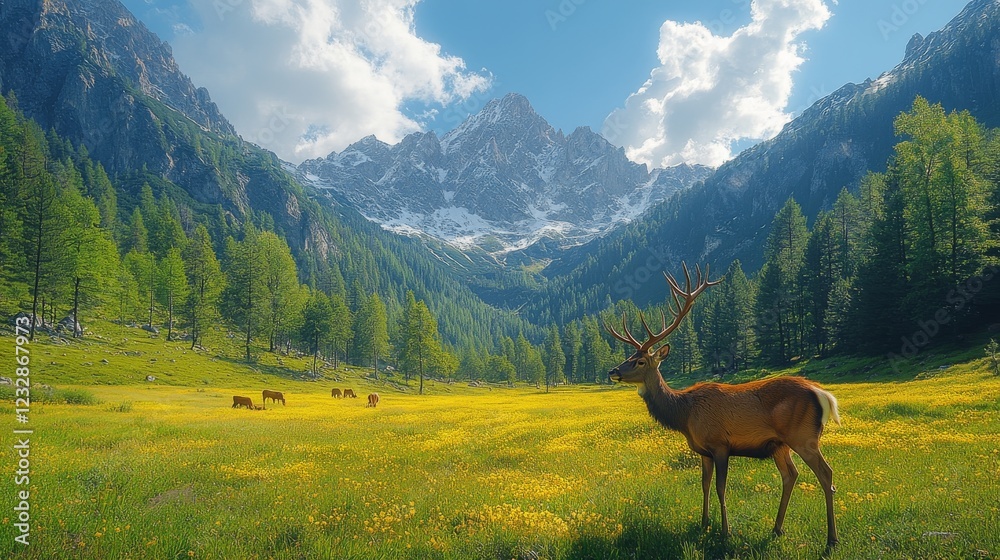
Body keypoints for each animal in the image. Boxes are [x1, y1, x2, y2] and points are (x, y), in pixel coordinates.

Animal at [606, 263, 841, 550]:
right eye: (629, 356)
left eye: (639, 361)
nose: (613, 371)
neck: (684, 414)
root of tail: (822, 393)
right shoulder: (703, 451)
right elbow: (704, 485)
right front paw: (704, 523)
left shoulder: (720, 444)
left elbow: (720, 487)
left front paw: (725, 532)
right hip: (780, 444)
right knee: (791, 475)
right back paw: (777, 529)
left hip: (804, 436)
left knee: (826, 474)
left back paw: (831, 539)